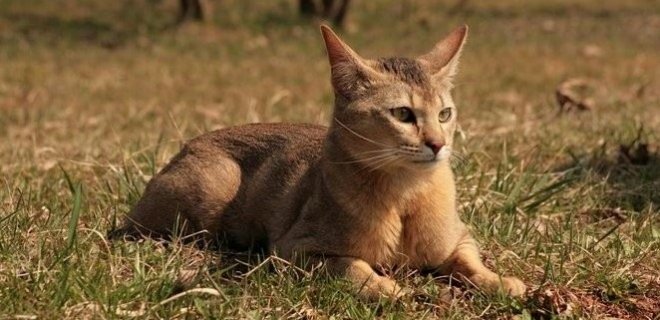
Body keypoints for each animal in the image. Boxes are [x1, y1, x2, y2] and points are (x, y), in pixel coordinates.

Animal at [113, 25, 524, 300]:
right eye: (403, 114)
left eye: (444, 114)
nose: (438, 145)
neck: (405, 196)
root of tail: (189, 143)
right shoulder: (294, 250)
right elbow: (352, 266)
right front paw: (385, 286)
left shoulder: (461, 238)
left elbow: (470, 263)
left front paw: (500, 282)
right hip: (208, 195)